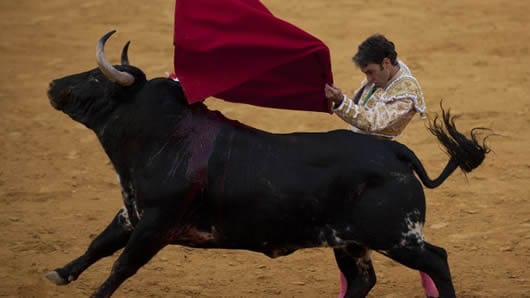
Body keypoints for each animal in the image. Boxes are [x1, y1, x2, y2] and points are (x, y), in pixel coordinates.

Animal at [44, 31, 486, 296]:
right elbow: (100, 243)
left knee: (436, 260)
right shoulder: (132, 213)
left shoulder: (156, 225)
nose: (52, 84)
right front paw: (60, 273)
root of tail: (397, 153)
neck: (165, 136)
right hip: (351, 241)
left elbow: (122, 265)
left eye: (96, 78)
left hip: (396, 237)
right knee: (363, 278)